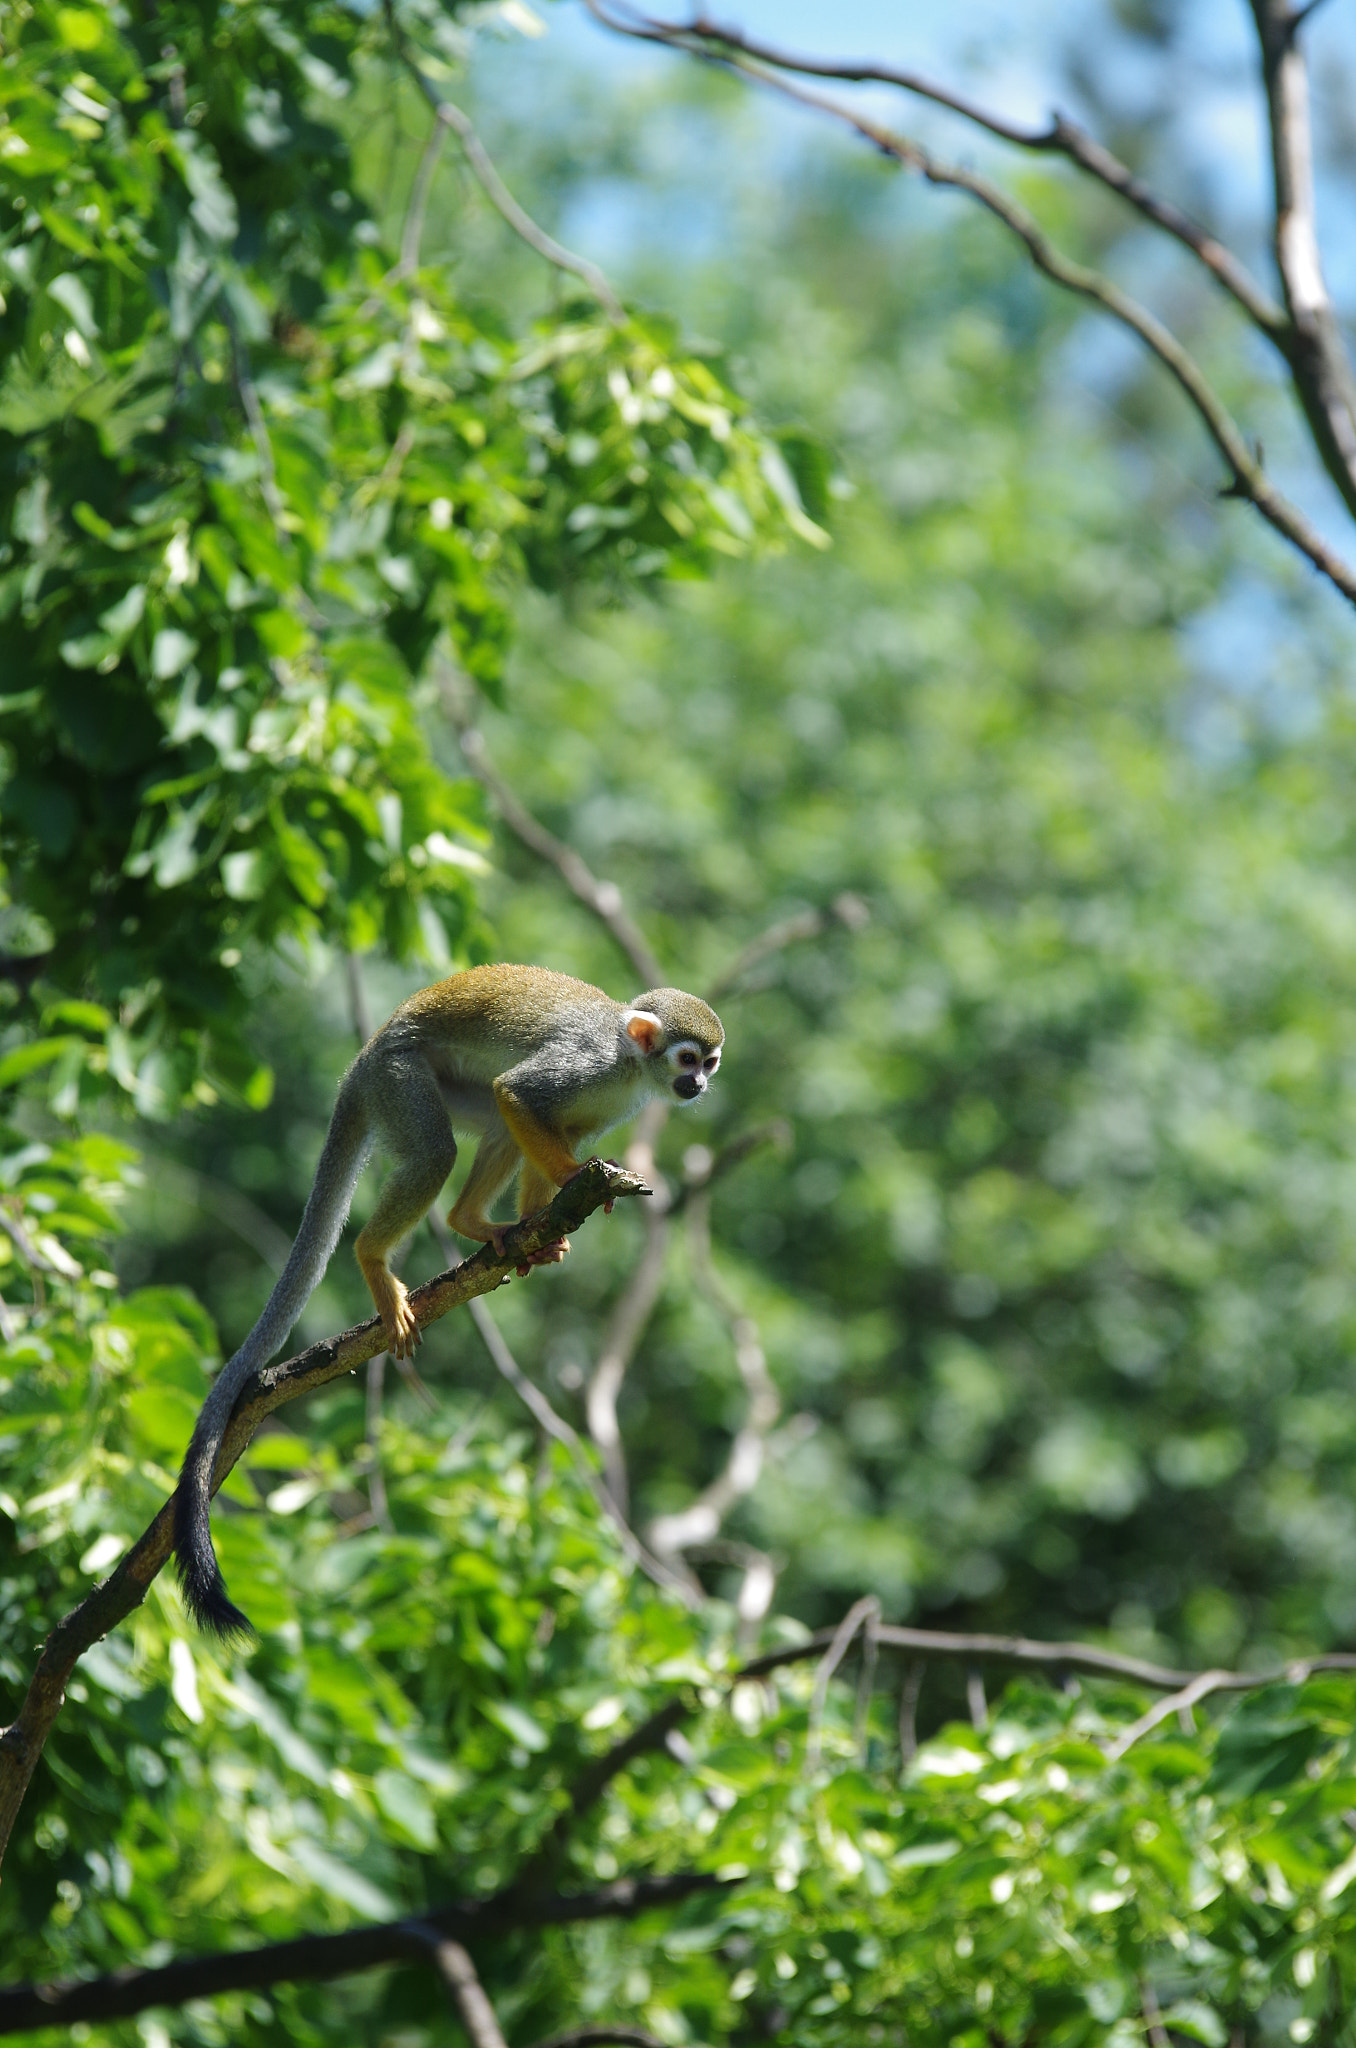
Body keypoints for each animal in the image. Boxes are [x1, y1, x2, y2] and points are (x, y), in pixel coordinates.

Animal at [173, 963, 724, 1637]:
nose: (697, 1085)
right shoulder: (587, 1064)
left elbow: (548, 1124)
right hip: (399, 1077)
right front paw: (572, 1178)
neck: (630, 1065)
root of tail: (363, 1057)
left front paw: (544, 1226)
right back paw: (374, 1257)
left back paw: (474, 1225)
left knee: (491, 1121)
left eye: (710, 1062)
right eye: (687, 1058)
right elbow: (520, 1094)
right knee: (446, 1144)